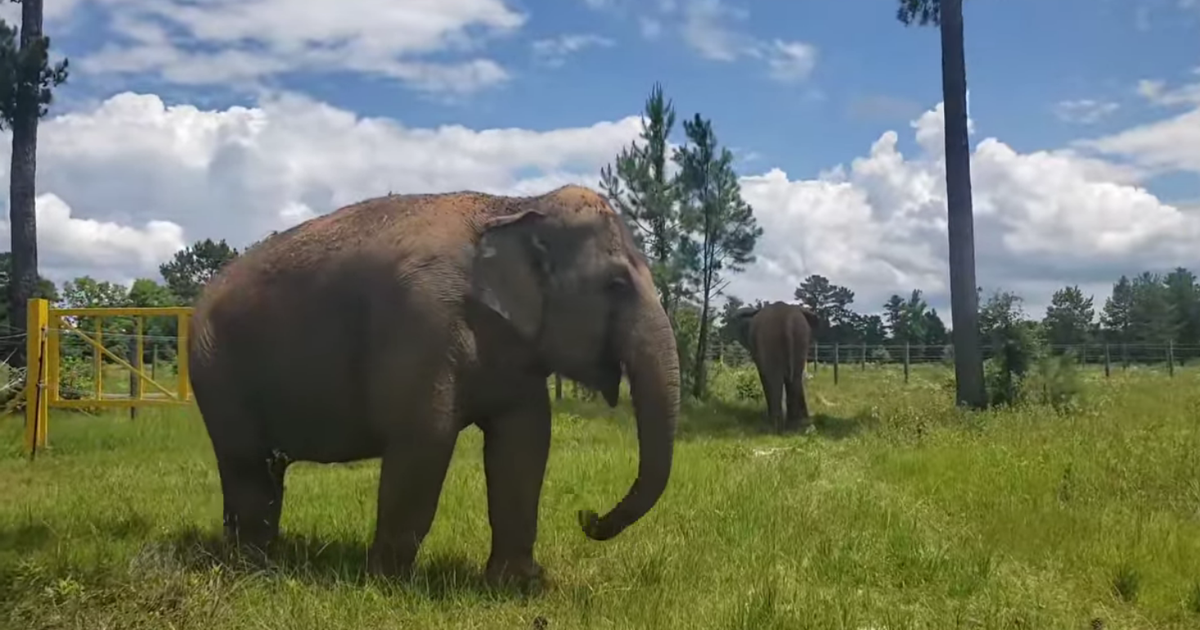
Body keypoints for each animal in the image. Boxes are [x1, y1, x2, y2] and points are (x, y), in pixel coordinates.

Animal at [187, 185, 680, 586]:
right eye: (616, 284)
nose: (587, 516)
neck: (515, 205)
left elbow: (525, 442)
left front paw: (518, 585)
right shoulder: (421, 320)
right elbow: (426, 436)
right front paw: (387, 585)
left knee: (263, 470)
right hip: (215, 369)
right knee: (246, 464)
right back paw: (256, 567)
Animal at [729, 302, 820, 432]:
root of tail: (787, 320)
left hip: (770, 340)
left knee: (774, 379)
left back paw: (774, 426)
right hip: (801, 337)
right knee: (795, 378)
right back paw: (796, 426)